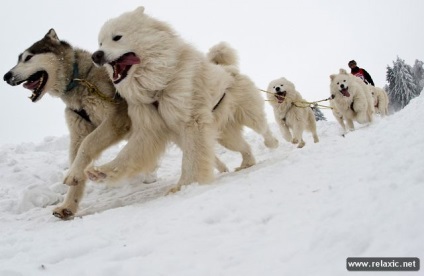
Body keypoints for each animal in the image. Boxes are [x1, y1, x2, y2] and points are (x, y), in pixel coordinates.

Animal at [88, 6, 278, 192]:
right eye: (100, 43)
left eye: (117, 37)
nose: (96, 55)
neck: (155, 86)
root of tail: (228, 69)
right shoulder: (150, 130)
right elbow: (127, 155)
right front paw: (101, 172)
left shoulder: (191, 122)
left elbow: (191, 158)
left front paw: (186, 185)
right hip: (226, 136)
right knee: (245, 147)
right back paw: (247, 163)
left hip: (249, 114)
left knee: (263, 128)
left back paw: (272, 144)